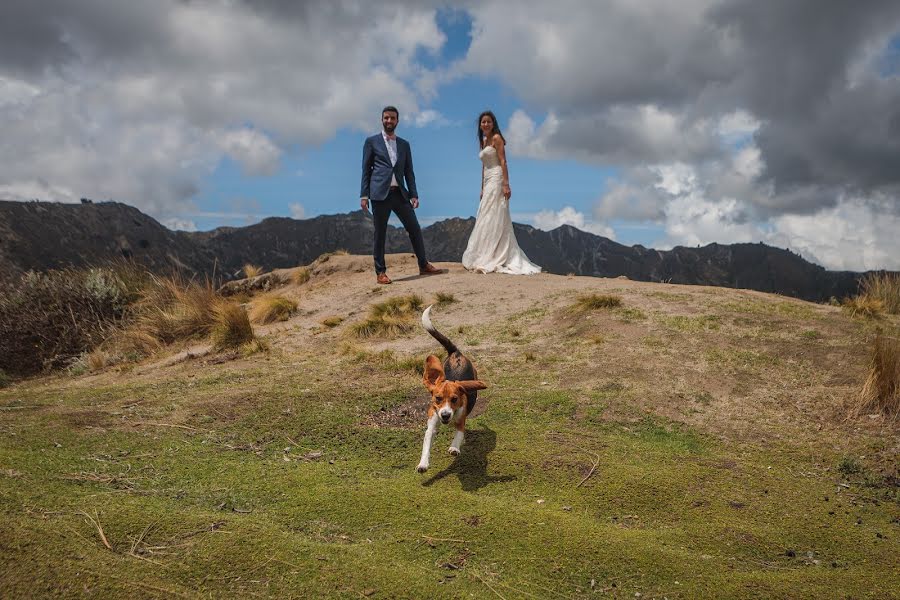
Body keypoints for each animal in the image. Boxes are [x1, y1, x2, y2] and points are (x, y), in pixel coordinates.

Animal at [414, 304, 486, 474]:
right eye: (438, 398)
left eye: (454, 399)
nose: (445, 415)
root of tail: (456, 353)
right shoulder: (432, 424)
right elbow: (427, 444)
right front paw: (423, 464)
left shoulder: (460, 421)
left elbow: (458, 435)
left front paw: (454, 448)